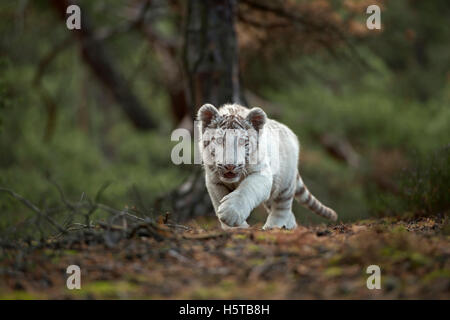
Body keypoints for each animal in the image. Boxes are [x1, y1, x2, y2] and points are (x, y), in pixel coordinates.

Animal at [197, 103, 338, 230]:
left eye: (242, 142)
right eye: (219, 140)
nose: (230, 165)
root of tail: (291, 134)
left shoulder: (261, 174)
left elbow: (245, 191)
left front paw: (231, 214)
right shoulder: (214, 181)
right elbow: (218, 199)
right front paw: (234, 227)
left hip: (285, 185)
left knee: (282, 208)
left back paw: (274, 226)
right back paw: (289, 226)